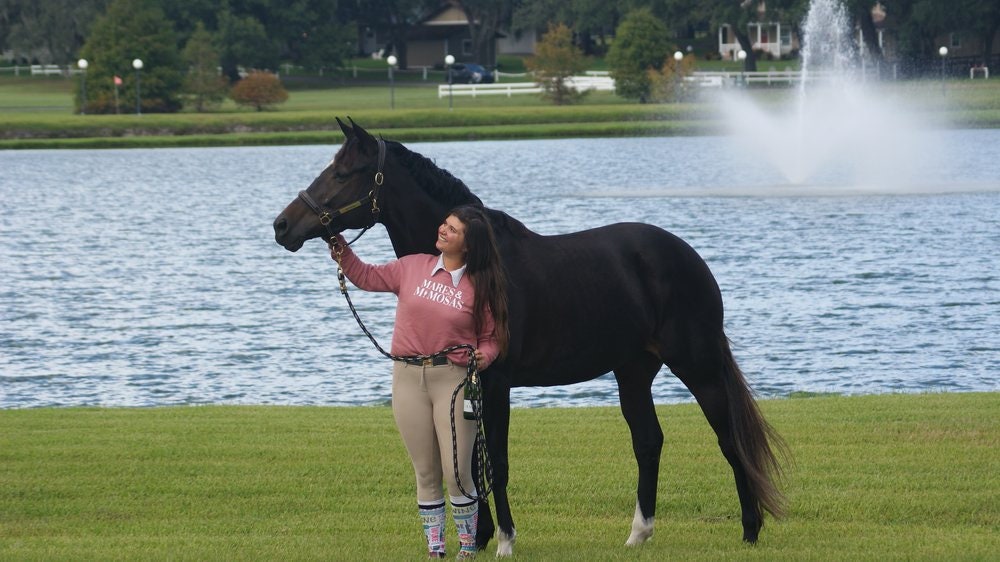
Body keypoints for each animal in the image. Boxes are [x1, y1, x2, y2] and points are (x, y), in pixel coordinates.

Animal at [272, 117, 780, 552]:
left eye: (343, 173)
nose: (282, 225)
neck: (476, 261)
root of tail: (688, 256)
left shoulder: (495, 382)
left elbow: (495, 462)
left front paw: (504, 540)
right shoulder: (470, 385)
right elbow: (470, 461)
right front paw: (477, 537)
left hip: (698, 366)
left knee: (728, 439)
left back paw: (751, 530)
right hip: (633, 371)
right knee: (648, 441)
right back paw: (639, 534)